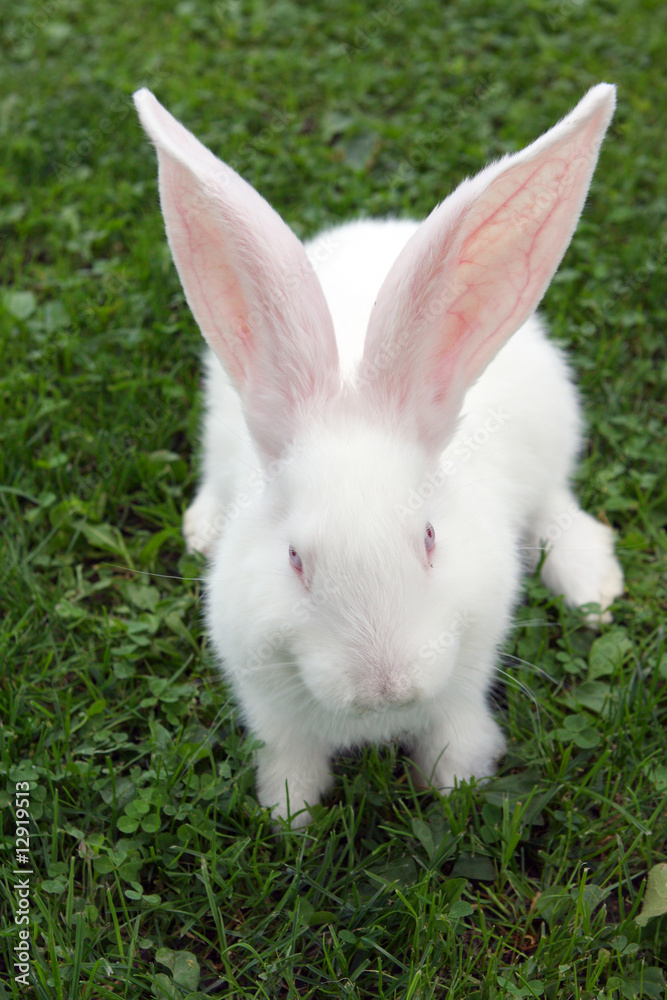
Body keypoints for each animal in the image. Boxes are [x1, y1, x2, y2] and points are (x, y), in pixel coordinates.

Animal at [136, 86, 628, 824]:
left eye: (428, 539)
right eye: (294, 559)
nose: (385, 688)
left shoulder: (465, 678)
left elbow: (456, 737)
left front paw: (457, 786)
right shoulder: (268, 704)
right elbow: (290, 763)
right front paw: (290, 819)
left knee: (558, 508)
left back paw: (591, 588)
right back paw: (203, 526)